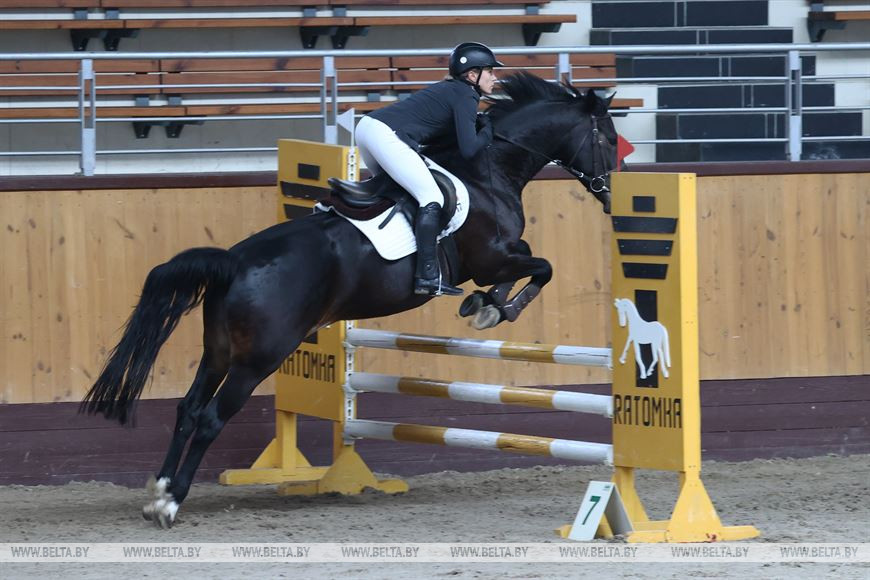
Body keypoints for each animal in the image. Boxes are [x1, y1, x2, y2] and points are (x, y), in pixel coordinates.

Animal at [78, 71, 616, 524]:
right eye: (609, 139)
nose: (611, 193)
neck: (489, 170)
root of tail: (234, 262)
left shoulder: (499, 258)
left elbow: (529, 265)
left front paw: (484, 305)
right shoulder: (493, 257)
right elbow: (540, 267)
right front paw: (492, 309)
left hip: (219, 351)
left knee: (189, 408)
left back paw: (159, 490)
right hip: (259, 359)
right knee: (210, 417)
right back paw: (172, 501)